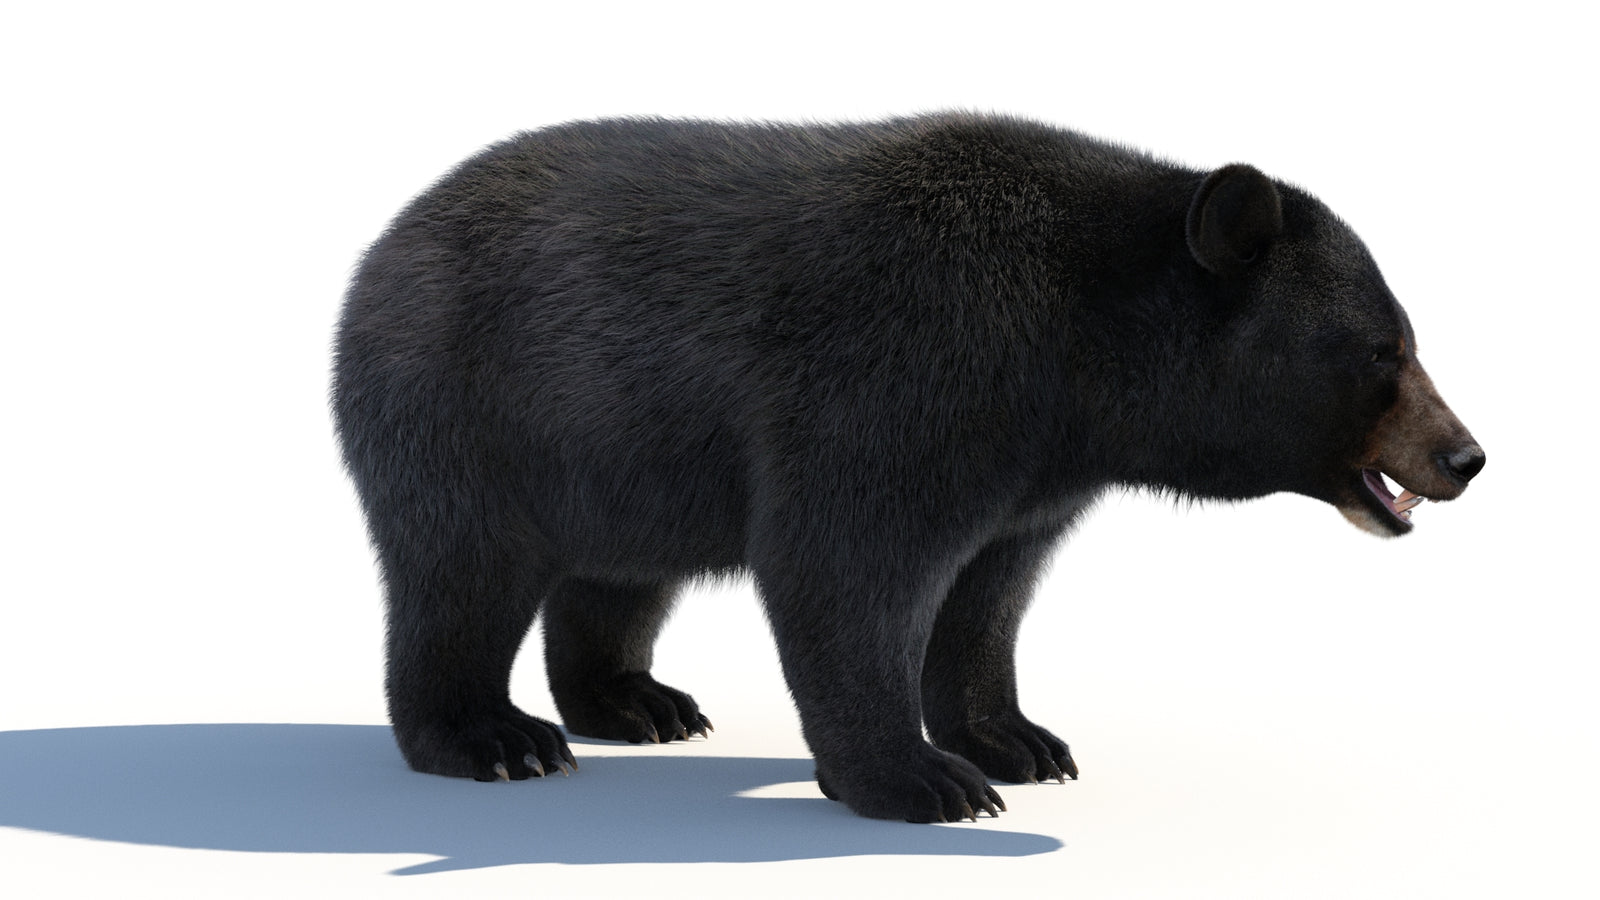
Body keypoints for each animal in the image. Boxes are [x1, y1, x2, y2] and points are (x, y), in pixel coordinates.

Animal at [332, 113, 1484, 823]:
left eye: (1406, 337)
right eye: (1381, 353)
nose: (1466, 456)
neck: (1075, 353)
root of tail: (384, 242)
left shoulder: (1034, 471)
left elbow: (990, 592)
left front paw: (1016, 740)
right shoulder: (907, 370)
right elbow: (846, 567)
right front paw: (919, 780)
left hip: (613, 445)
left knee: (618, 574)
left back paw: (635, 703)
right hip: (468, 407)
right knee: (458, 573)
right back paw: (492, 736)